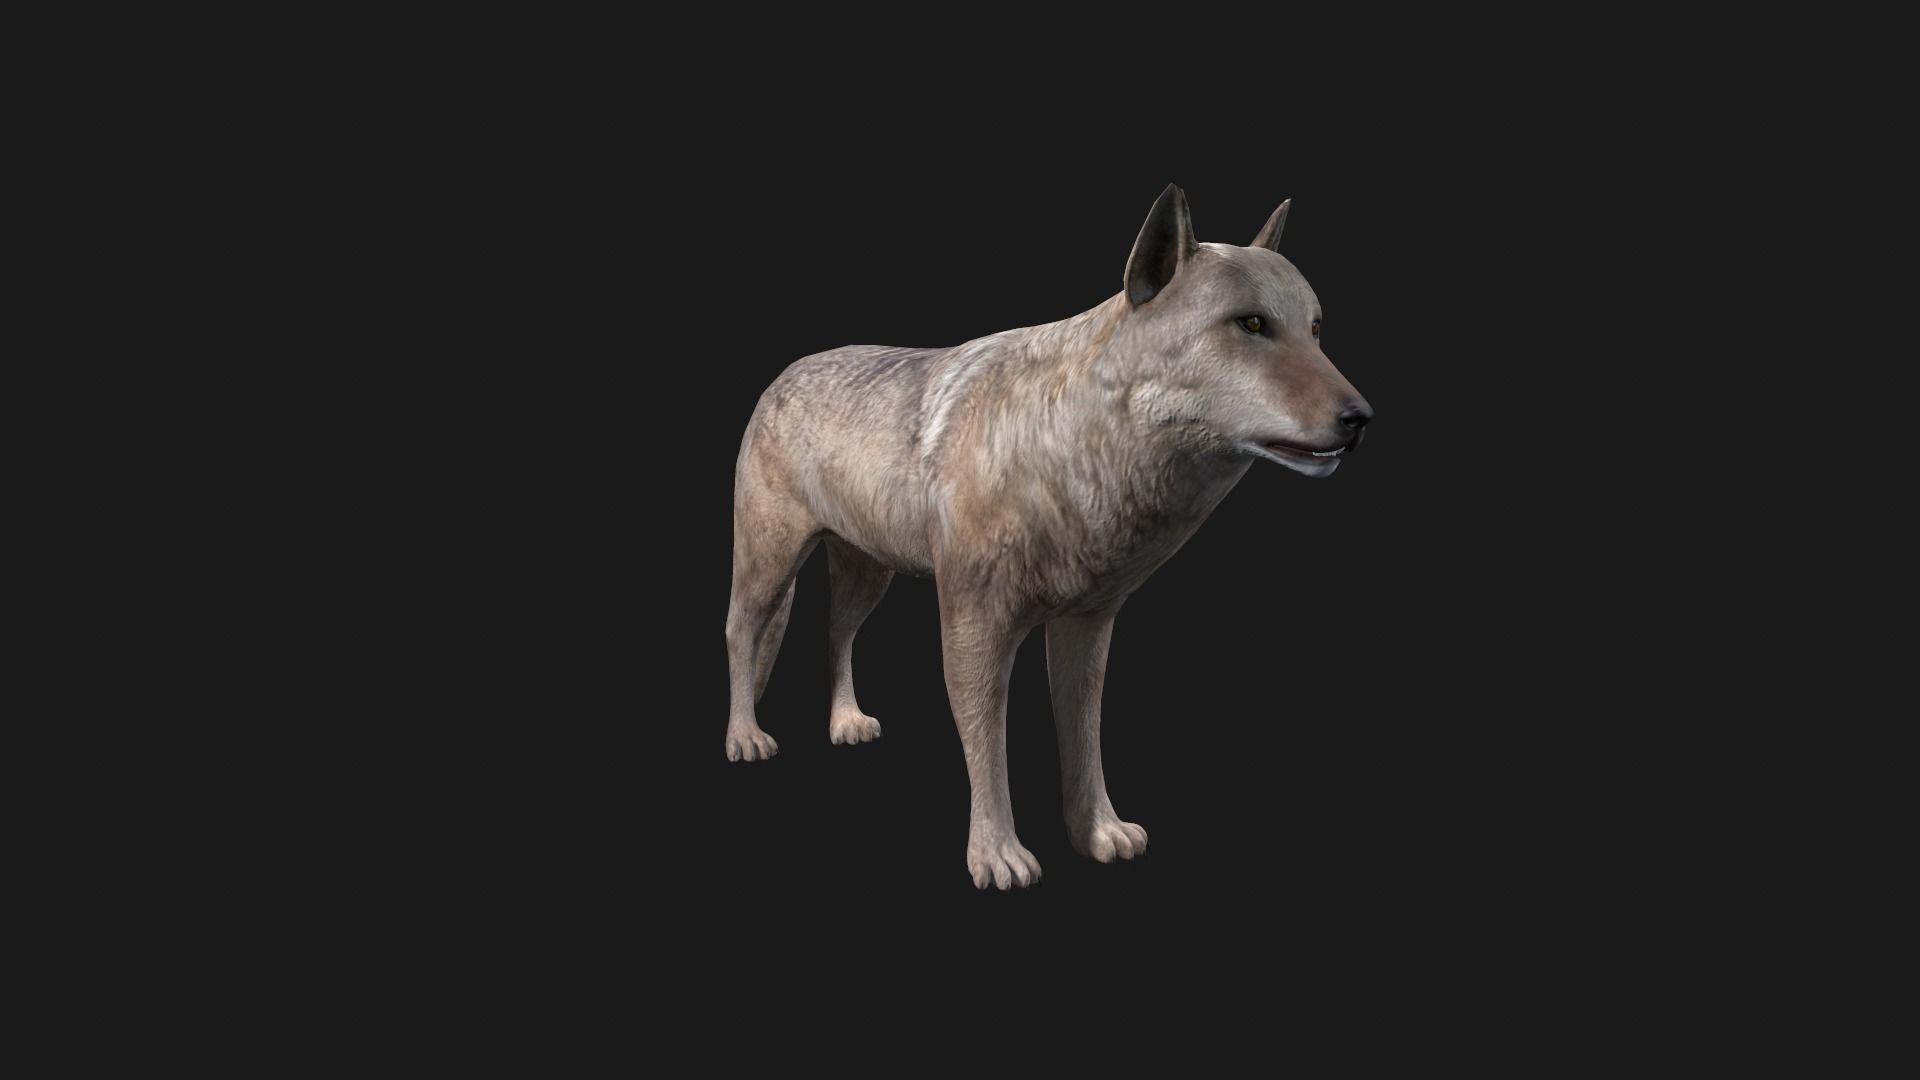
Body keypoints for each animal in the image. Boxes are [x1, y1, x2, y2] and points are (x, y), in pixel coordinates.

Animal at [724, 185, 1372, 889]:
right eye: (1251, 325)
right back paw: (744, 738)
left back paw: (846, 722)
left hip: (869, 578)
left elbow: (1083, 735)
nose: (1361, 419)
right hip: (770, 566)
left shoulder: (1088, 625)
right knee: (740, 631)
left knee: (836, 634)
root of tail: (784, 374)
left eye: (1315, 329)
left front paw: (1099, 833)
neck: (1069, 450)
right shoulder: (975, 624)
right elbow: (987, 744)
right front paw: (997, 855)